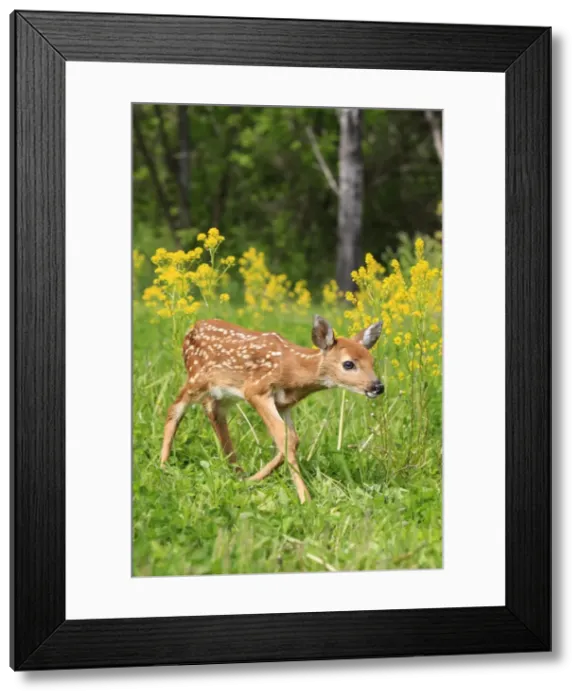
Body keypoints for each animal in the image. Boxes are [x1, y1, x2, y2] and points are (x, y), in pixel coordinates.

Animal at [160, 314, 384, 504]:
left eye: (372, 361)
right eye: (348, 364)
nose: (377, 386)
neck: (293, 371)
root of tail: (192, 328)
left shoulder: (284, 404)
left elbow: (292, 438)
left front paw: (252, 479)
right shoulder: (256, 390)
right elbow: (286, 437)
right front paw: (305, 499)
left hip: (222, 394)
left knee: (214, 414)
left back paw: (236, 472)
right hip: (196, 378)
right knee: (175, 408)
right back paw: (163, 464)